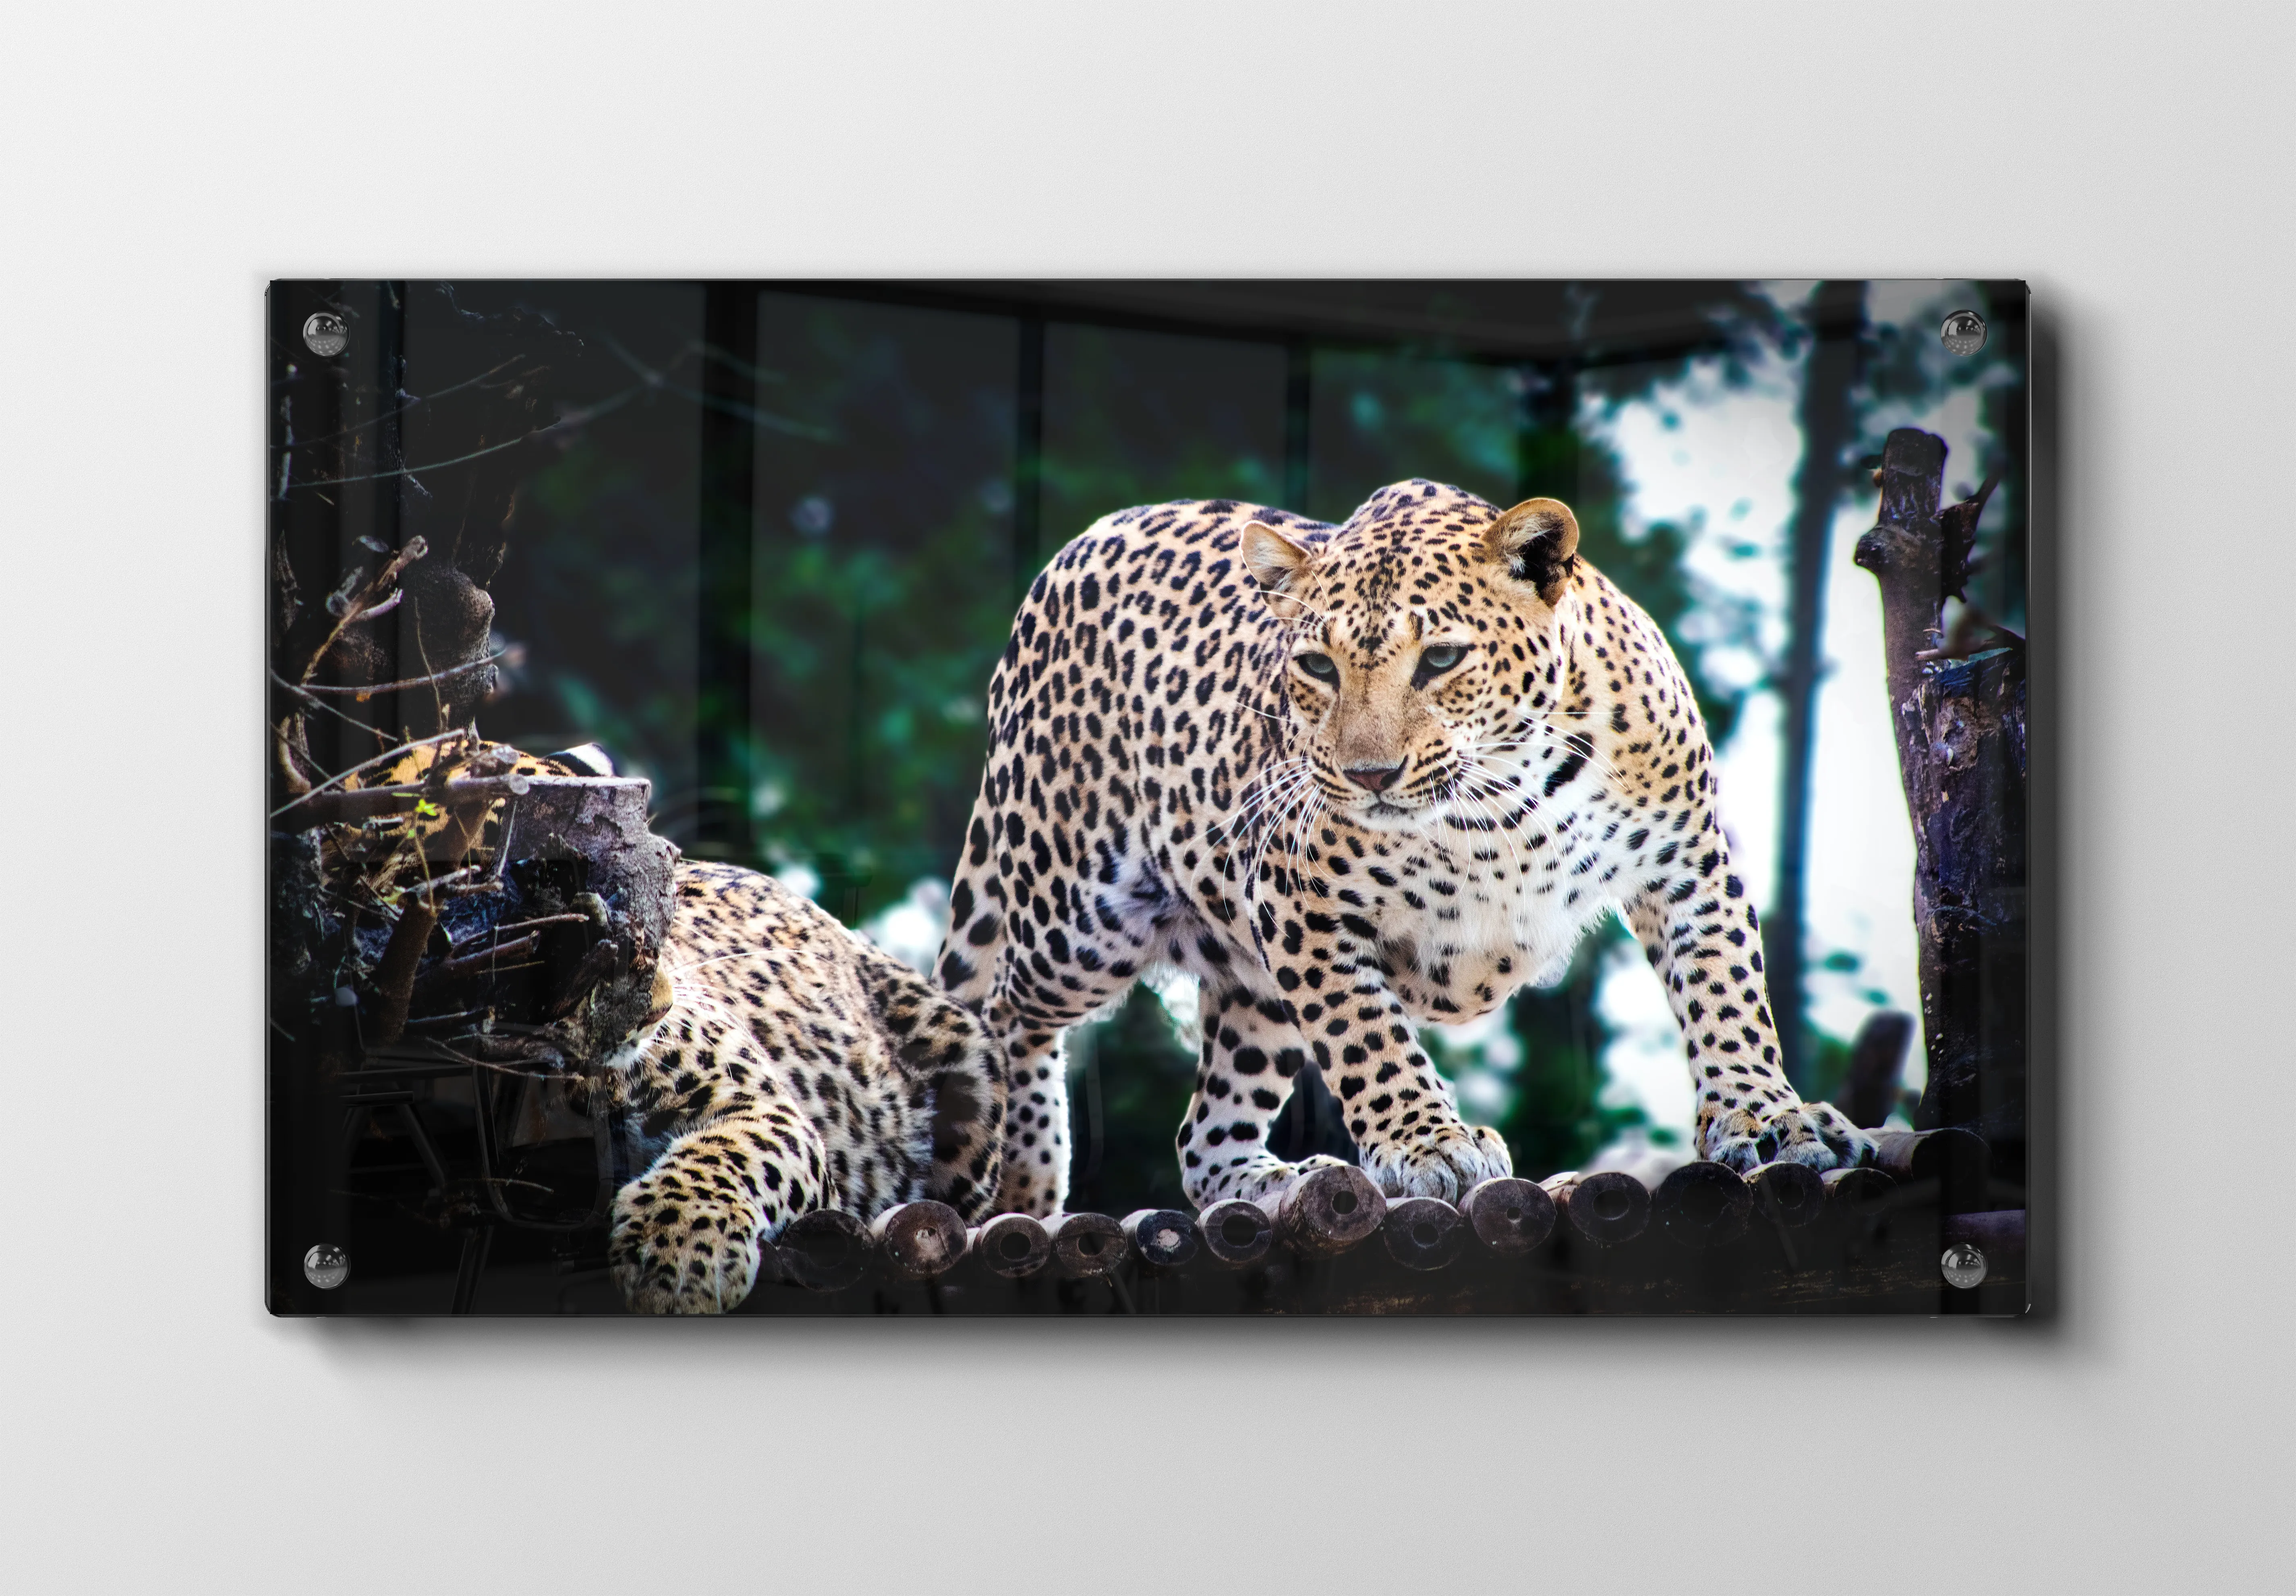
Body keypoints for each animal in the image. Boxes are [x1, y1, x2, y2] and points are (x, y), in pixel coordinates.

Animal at [935, 479, 1877, 1218]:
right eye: (1316, 666)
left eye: (1442, 659)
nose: (1370, 774)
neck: (1506, 795)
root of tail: (1073, 547)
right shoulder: (1300, 902)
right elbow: (1368, 1036)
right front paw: (1431, 1144)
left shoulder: (1689, 863)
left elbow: (1729, 998)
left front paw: (1768, 1117)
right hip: (1079, 911)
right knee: (999, 1009)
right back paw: (1025, 1172)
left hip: (1249, 986)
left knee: (1204, 1134)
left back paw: (1271, 1182)